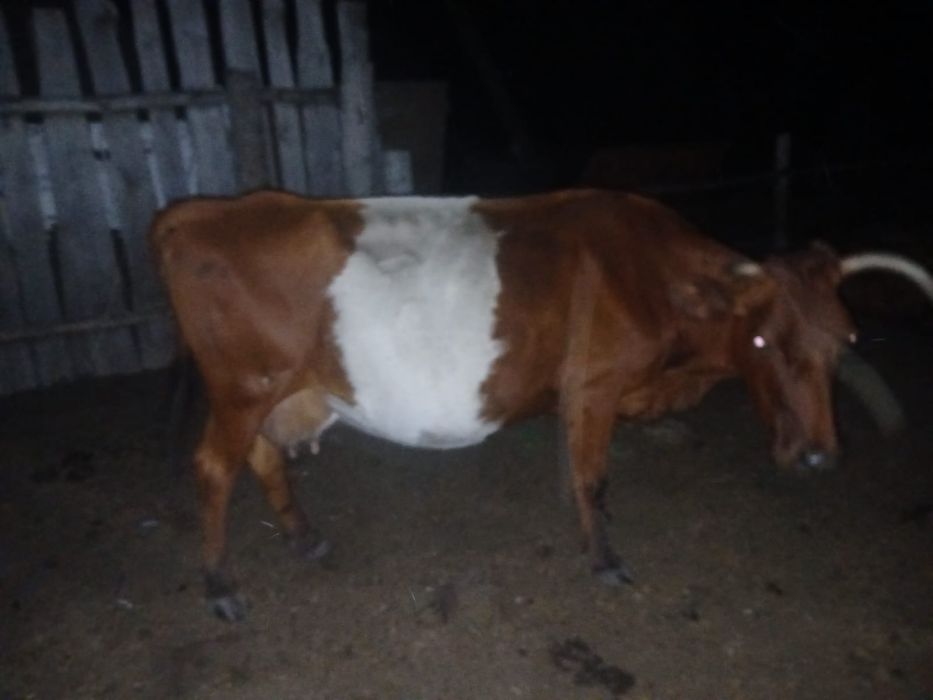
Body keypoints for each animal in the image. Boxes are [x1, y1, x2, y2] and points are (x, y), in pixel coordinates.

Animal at [150, 188, 933, 621]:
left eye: (845, 339)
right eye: (764, 339)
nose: (817, 457)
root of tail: (205, 211)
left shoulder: (579, 392)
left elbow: (574, 465)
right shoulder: (597, 383)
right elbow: (594, 475)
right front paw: (604, 559)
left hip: (265, 390)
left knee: (261, 457)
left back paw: (304, 537)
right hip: (245, 385)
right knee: (214, 469)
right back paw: (219, 586)